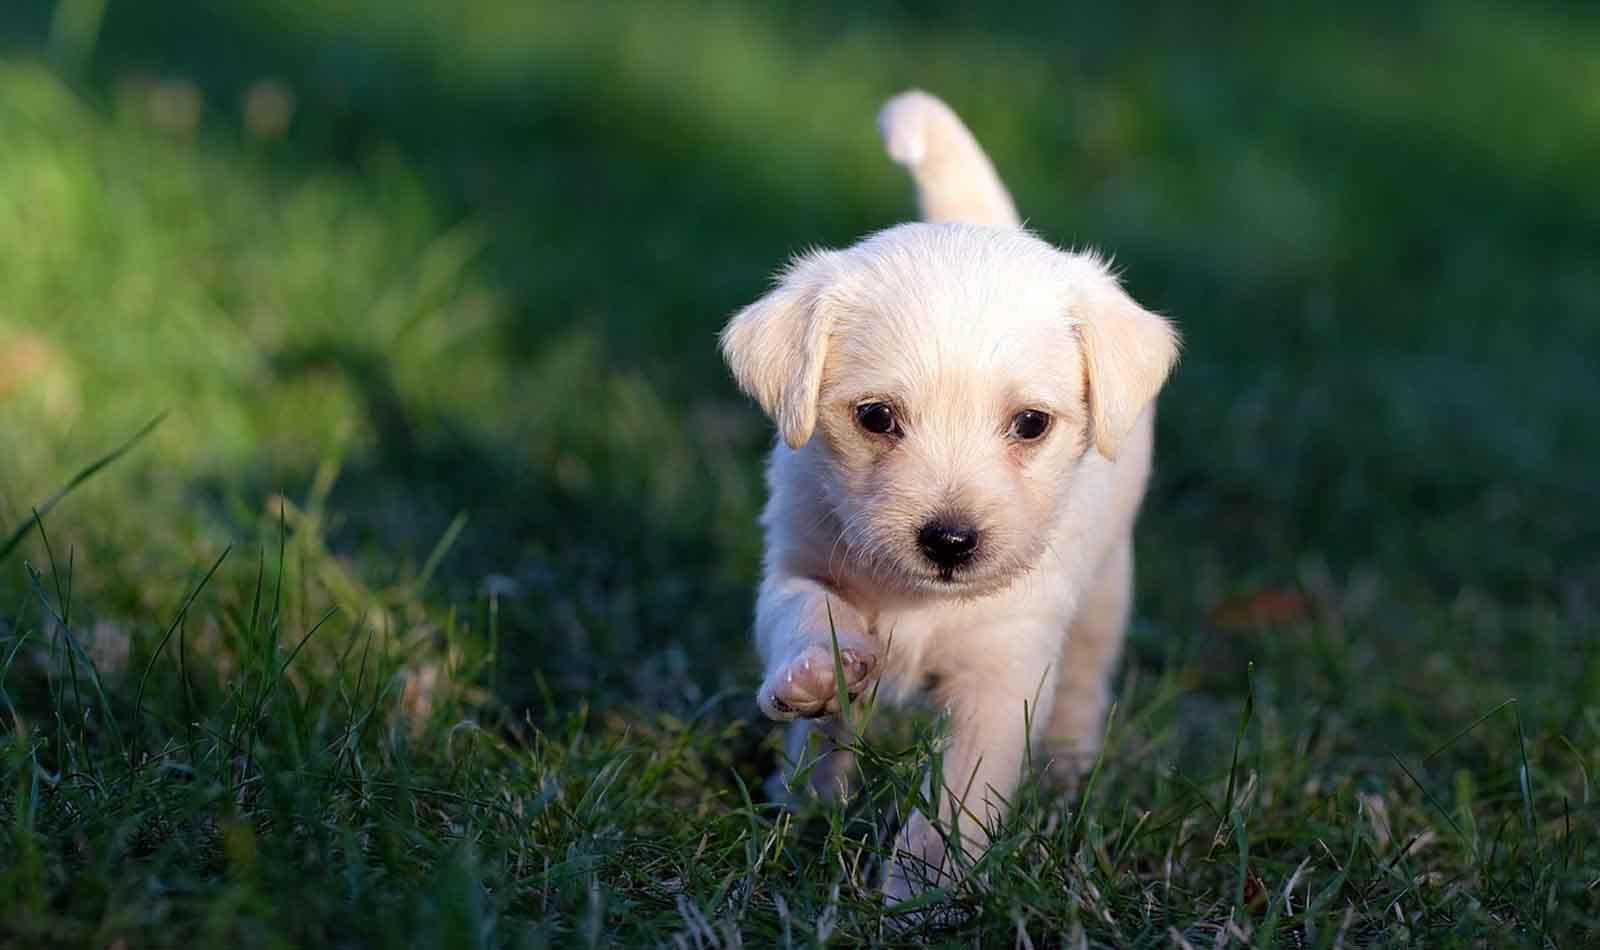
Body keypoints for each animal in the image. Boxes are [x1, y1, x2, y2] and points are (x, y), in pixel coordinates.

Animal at [720, 88, 1184, 895]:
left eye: (1031, 424)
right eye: (876, 417)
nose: (950, 541)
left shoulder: (1003, 675)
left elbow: (956, 803)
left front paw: (921, 894)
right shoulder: (797, 561)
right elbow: (806, 614)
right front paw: (816, 673)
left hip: (1106, 592)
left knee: (1085, 681)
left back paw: (1067, 774)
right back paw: (802, 796)